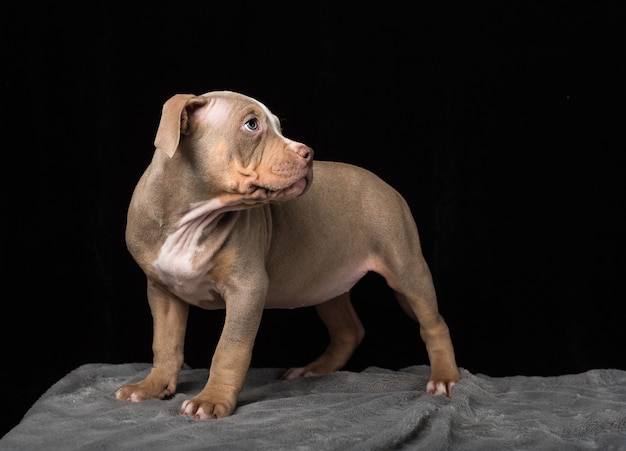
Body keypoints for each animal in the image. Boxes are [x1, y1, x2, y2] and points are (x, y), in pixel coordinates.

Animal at [114, 91, 456, 420]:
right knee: (348, 330)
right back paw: (313, 370)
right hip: (326, 282)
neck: (193, 216)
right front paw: (152, 386)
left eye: (278, 126)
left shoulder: (247, 289)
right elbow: (165, 343)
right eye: (252, 124)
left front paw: (211, 401)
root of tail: (383, 184)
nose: (308, 153)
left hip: (406, 267)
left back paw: (444, 378)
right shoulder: (162, 290)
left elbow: (229, 349)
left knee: (434, 324)